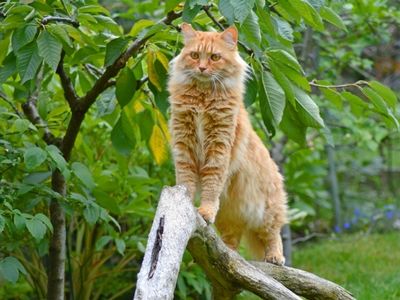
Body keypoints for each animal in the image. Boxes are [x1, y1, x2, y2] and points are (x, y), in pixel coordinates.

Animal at [167, 23, 286, 264]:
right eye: (195, 55)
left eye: (215, 57)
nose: (202, 68)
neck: (202, 100)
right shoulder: (184, 146)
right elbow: (186, 181)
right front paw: (185, 204)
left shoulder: (219, 148)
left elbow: (211, 186)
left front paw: (205, 211)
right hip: (230, 217)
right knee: (231, 242)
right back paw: (229, 256)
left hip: (266, 211)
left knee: (273, 234)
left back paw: (275, 257)